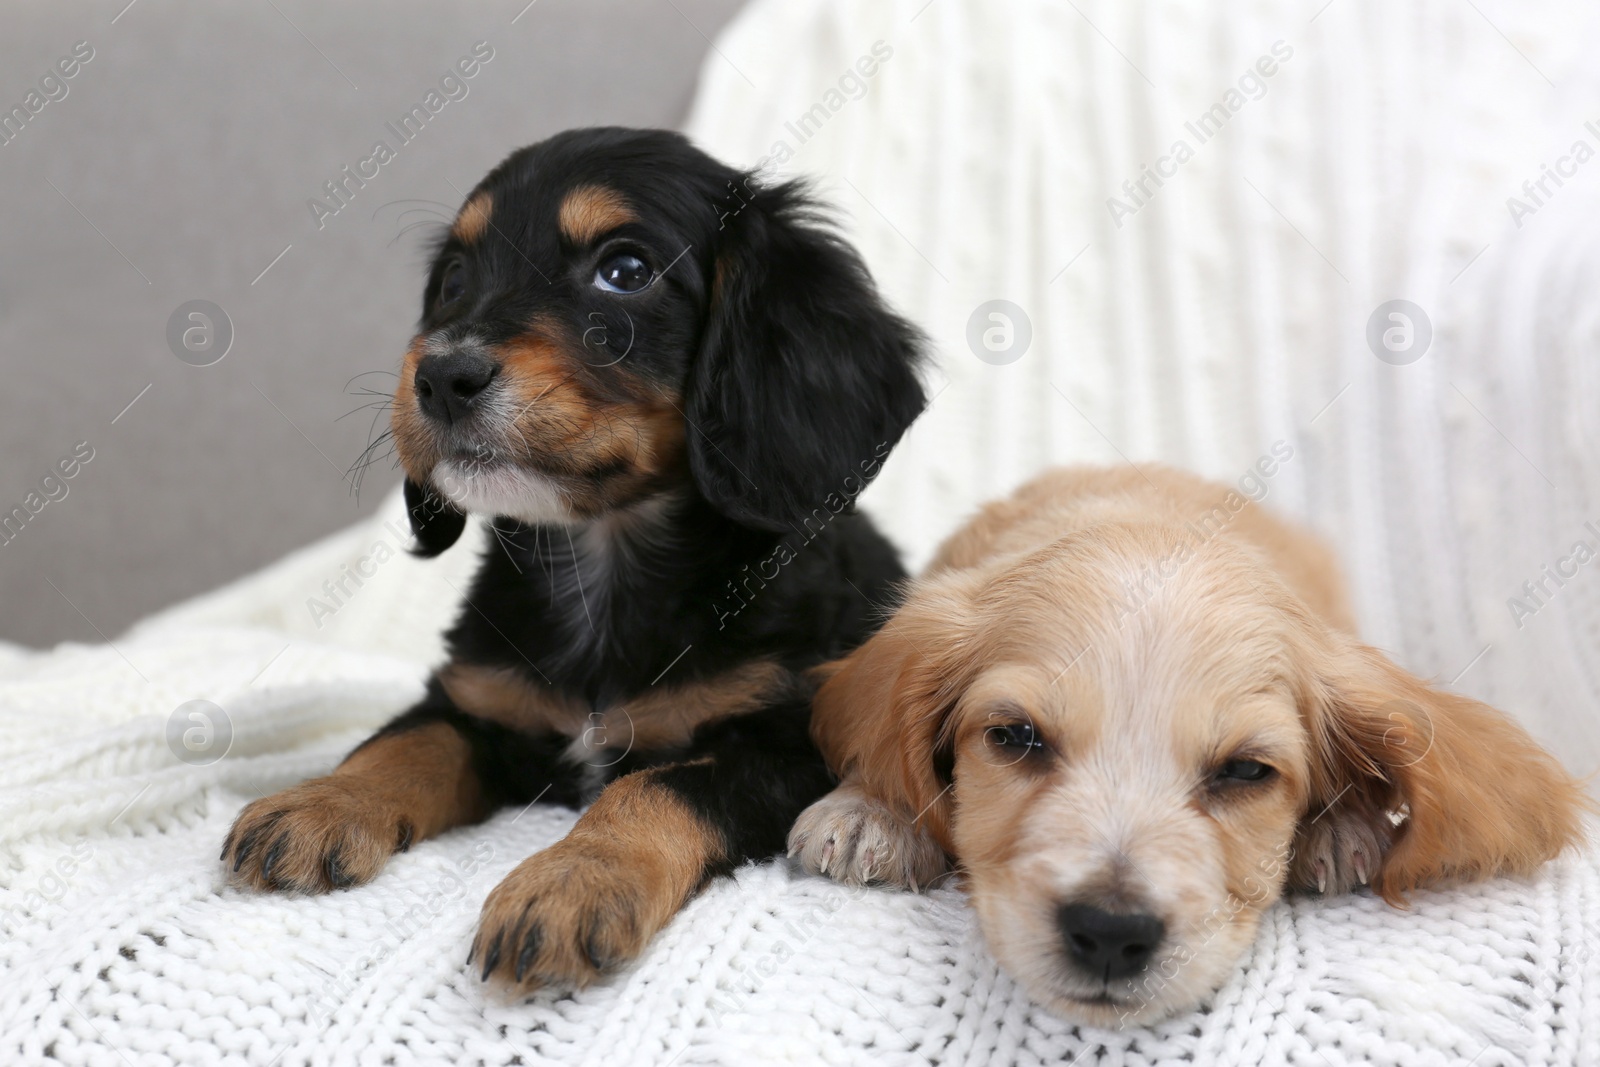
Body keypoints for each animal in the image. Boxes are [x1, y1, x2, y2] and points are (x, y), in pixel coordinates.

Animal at [224, 129, 928, 991]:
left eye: (625, 270)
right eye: (453, 280)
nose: (441, 376)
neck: (602, 561)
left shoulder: (783, 739)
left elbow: (651, 787)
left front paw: (573, 879)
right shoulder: (480, 700)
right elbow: (403, 741)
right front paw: (321, 801)